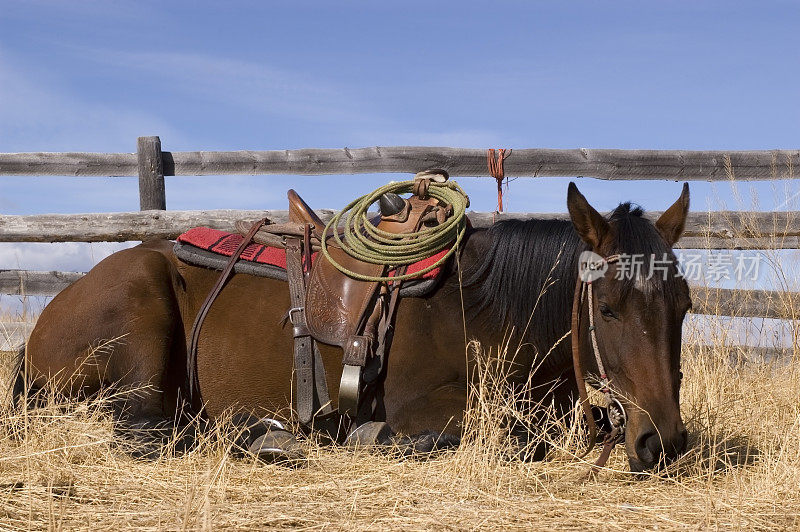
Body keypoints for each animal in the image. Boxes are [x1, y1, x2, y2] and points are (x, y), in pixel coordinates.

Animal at [15, 181, 692, 472]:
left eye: (682, 305)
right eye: (607, 308)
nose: (662, 443)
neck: (483, 306)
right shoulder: (426, 405)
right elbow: (496, 434)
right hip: (140, 312)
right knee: (144, 430)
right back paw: (263, 436)